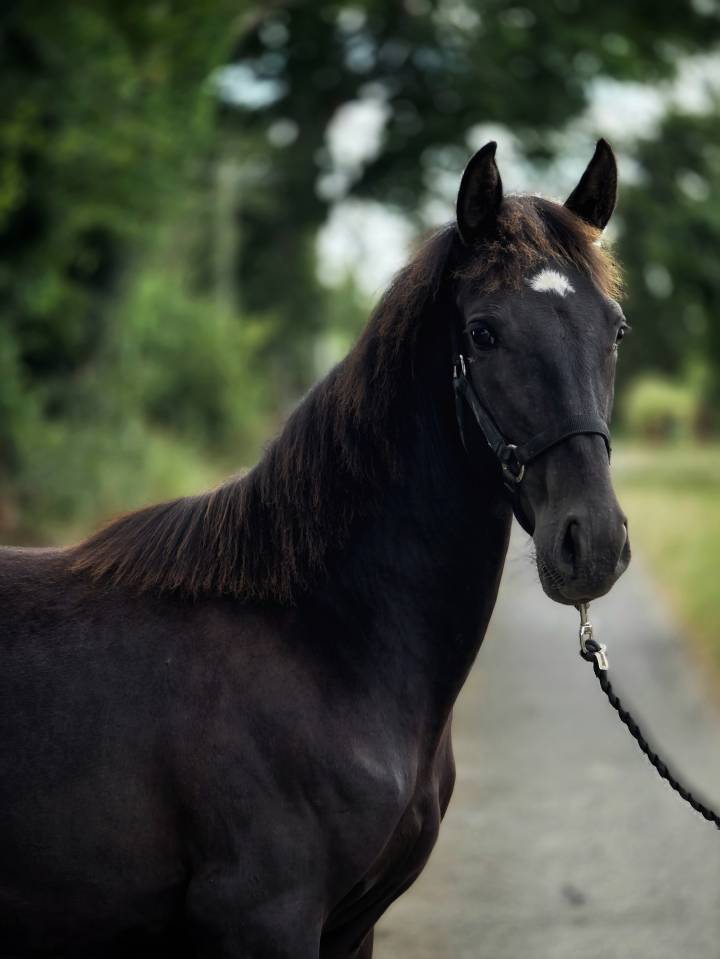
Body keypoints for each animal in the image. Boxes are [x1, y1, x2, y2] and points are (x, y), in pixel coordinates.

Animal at [0, 139, 631, 957]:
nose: (594, 541)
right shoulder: (267, 920)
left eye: (614, 329)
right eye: (485, 332)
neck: (317, 640)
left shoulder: (352, 927)